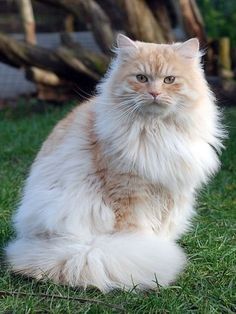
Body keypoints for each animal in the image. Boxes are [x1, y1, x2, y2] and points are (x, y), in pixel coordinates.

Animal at [5, 34, 223, 292]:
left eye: (169, 80)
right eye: (141, 78)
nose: (154, 93)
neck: (157, 131)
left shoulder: (171, 195)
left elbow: (162, 232)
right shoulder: (129, 194)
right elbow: (138, 232)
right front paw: (152, 258)